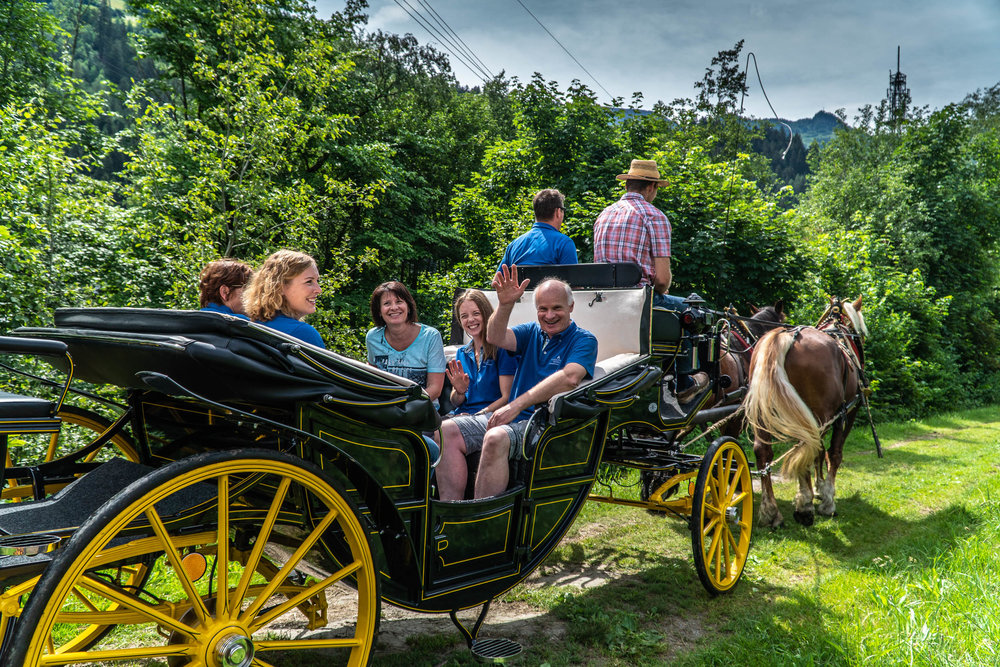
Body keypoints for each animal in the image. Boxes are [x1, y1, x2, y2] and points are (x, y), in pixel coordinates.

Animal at [744, 298, 868, 528]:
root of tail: (785, 336)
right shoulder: (847, 412)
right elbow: (832, 453)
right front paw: (826, 499)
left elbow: (819, 452)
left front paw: (819, 488)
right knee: (806, 446)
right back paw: (805, 507)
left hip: (764, 415)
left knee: (763, 451)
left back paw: (770, 511)